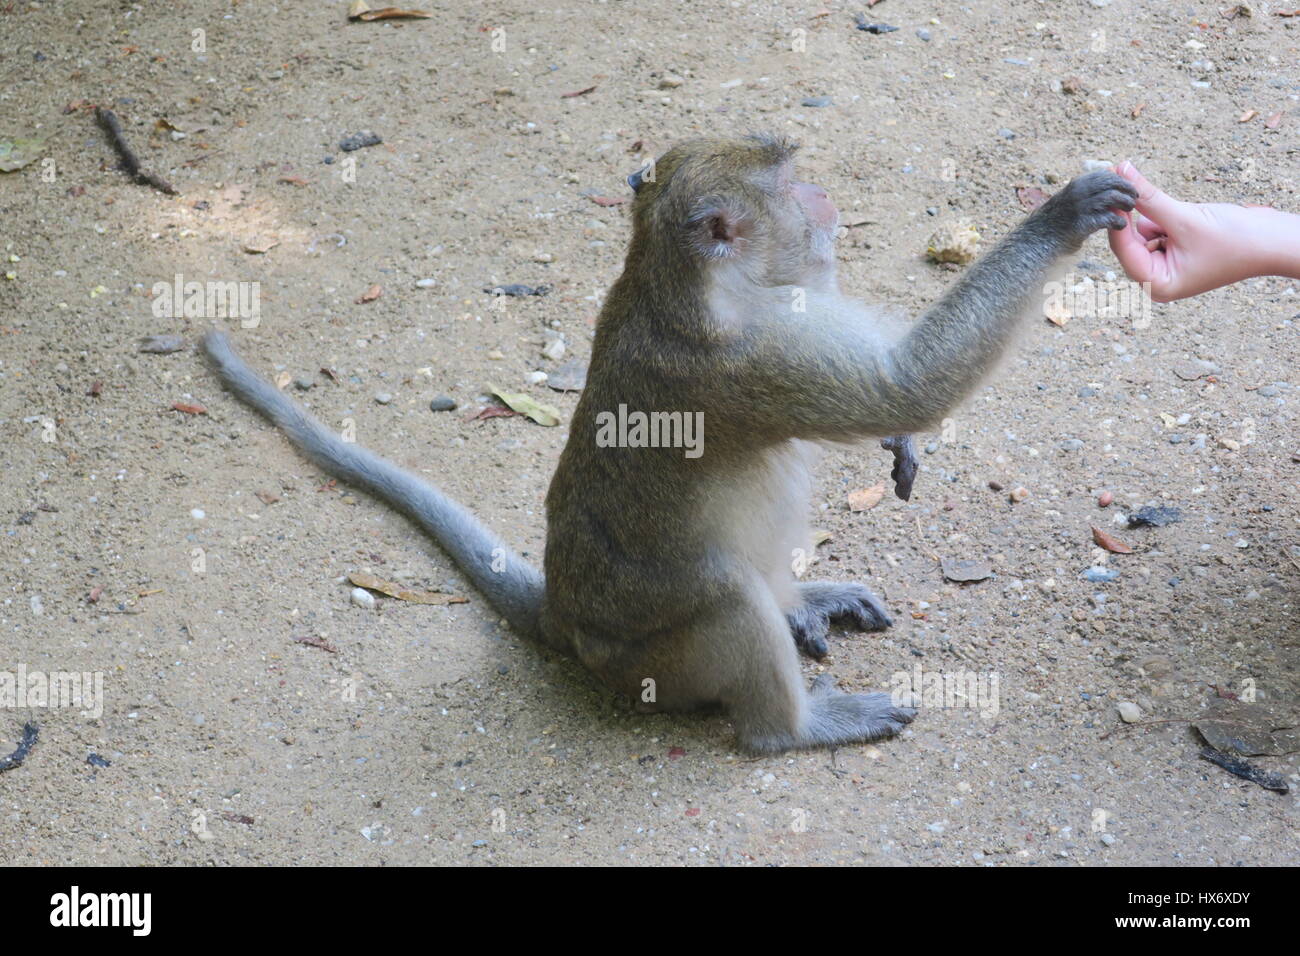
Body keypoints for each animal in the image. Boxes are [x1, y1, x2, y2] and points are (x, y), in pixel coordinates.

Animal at [202, 134, 1135, 755]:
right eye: (788, 184)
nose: (825, 195)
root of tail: (563, 614)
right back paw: (794, 724)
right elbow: (902, 382)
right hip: (654, 657)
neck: (676, 276)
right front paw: (1062, 216)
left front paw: (903, 445)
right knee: (724, 596)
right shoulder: (754, 356)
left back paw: (801, 600)